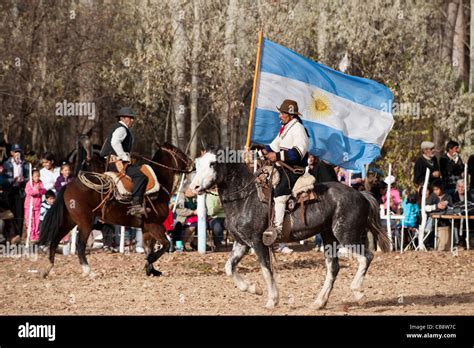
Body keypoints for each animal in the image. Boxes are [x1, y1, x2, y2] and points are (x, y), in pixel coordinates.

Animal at [39, 143, 193, 276]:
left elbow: (148, 248)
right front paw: (150, 263)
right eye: (178, 152)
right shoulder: (154, 225)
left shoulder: (146, 228)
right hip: (85, 223)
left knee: (55, 239)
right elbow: (165, 245)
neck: (159, 186)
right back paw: (88, 271)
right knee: (80, 245)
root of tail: (68, 186)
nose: (192, 163)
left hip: (69, 221)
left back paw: (48, 268)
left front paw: (151, 270)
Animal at [191, 145, 390, 308]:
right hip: (328, 237)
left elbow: (266, 270)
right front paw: (253, 288)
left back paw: (358, 292)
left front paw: (272, 300)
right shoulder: (241, 243)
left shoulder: (258, 243)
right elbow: (229, 268)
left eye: (212, 164)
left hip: (347, 235)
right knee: (333, 267)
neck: (245, 198)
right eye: (198, 164)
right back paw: (319, 302)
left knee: (366, 257)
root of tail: (362, 195)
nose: (194, 187)